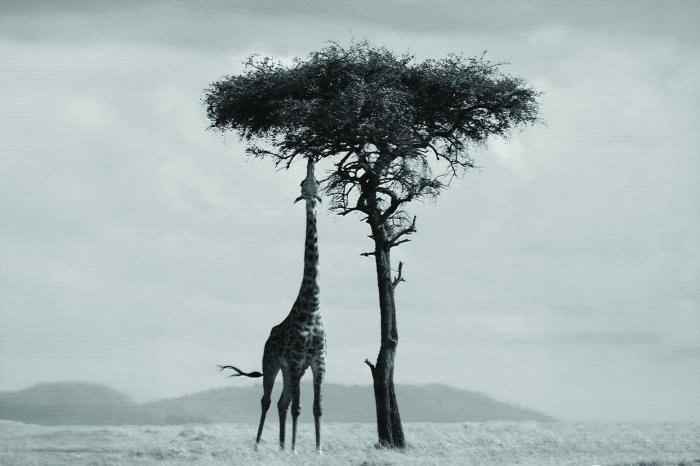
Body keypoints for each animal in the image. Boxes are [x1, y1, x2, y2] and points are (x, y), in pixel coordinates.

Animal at [221, 157, 327, 454]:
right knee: (268, 400)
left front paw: (317, 449)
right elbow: (299, 408)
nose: (311, 160)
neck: (312, 307)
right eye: (303, 183)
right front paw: (295, 449)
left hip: (291, 370)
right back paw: (260, 445)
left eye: (317, 182)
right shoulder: (296, 361)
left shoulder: (318, 362)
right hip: (271, 362)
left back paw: (280, 446)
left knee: (282, 401)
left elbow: (317, 408)